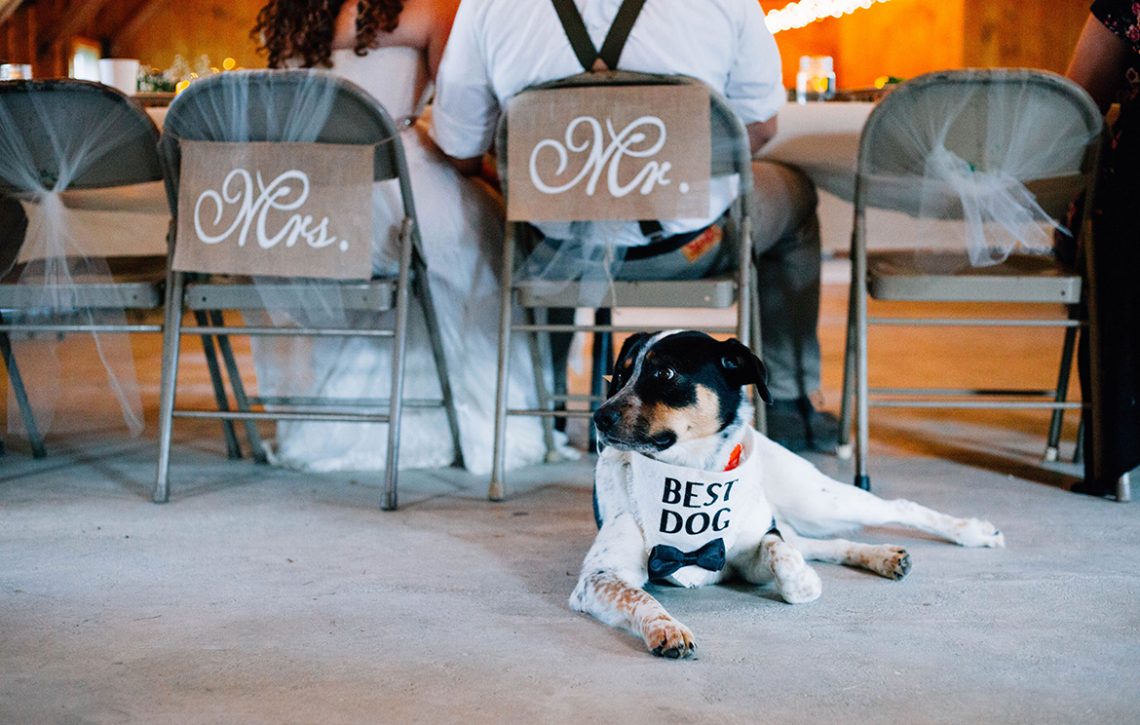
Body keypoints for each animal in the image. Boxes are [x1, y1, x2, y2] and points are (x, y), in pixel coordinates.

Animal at [570, 330, 1007, 661]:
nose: (599, 417)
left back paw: (972, 532)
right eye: (619, 375)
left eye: (665, 372)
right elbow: (640, 598)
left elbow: (781, 554)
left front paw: (803, 584)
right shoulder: (600, 577)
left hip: (818, 501)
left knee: (894, 508)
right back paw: (884, 556)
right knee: (825, 543)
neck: (694, 473)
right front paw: (669, 629)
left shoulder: (752, 551)